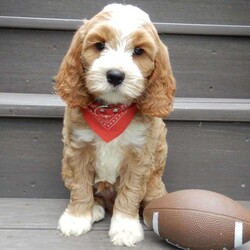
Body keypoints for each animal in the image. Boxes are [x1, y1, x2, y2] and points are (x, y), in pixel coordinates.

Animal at [55, 2, 175, 247]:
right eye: (99, 45)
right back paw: (95, 208)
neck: (110, 111)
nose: (115, 75)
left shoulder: (140, 156)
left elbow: (130, 192)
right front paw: (77, 218)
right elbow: (80, 185)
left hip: (155, 176)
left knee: (153, 195)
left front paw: (125, 228)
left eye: (138, 51)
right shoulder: (77, 149)